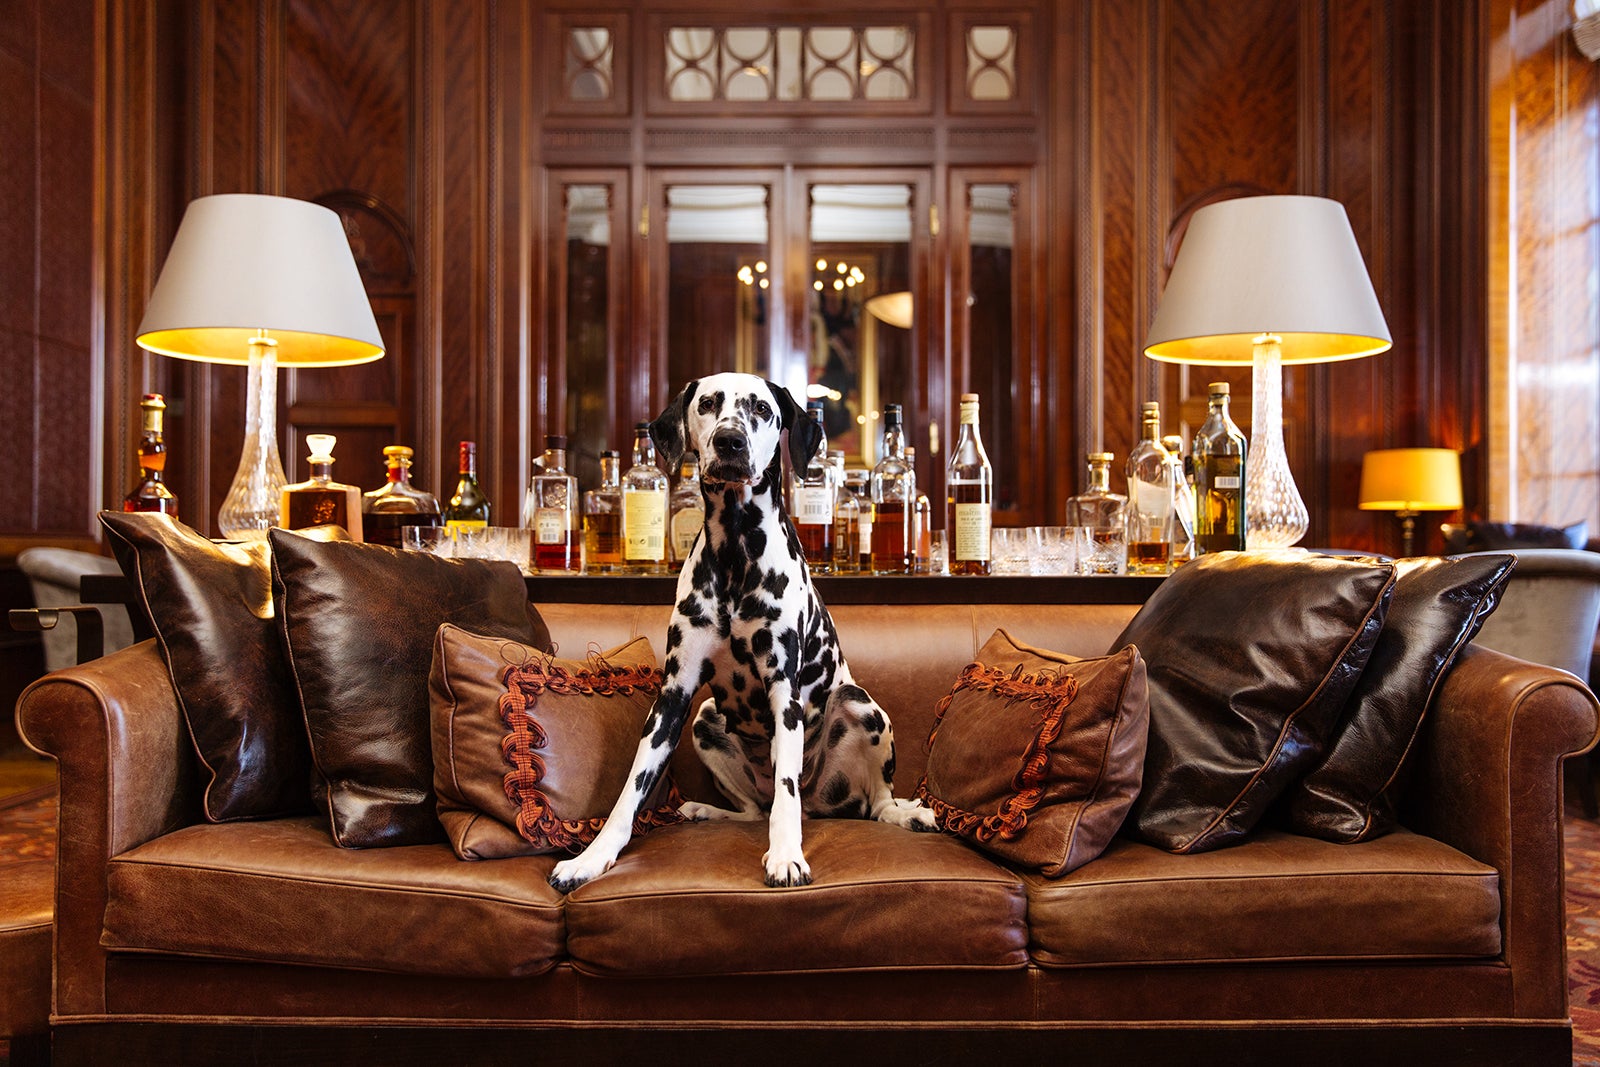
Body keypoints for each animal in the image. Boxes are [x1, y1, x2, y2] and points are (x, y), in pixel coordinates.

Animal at [547, 375, 934, 895]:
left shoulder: (783, 691)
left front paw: (787, 855)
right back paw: (705, 811)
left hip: (860, 705)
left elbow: (786, 790)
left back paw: (907, 815)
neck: (734, 548)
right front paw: (591, 858)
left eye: (762, 409)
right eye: (708, 403)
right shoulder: (673, 697)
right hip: (705, 719)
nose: (730, 440)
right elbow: (631, 789)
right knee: (753, 810)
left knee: (872, 803)